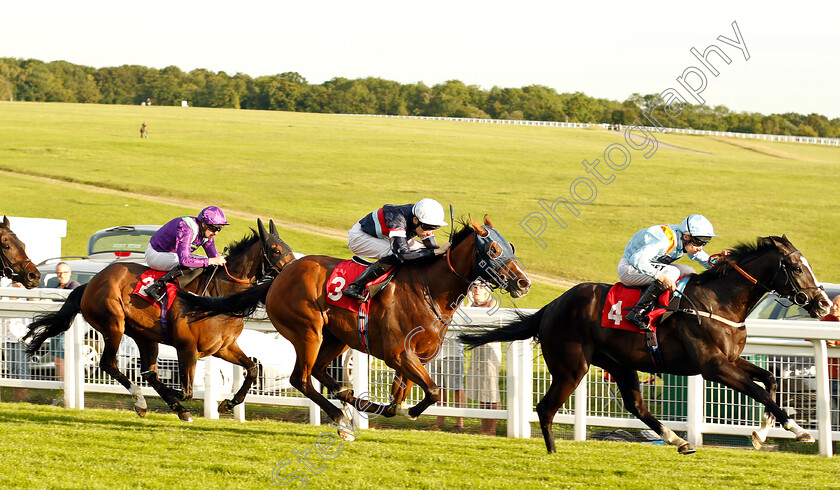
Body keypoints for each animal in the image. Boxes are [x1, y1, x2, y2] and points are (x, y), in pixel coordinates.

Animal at [182, 216, 532, 438]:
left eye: (512, 247)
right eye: (494, 250)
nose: (523, 283)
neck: (429, 288)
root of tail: (278, 277)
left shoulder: (415, 357)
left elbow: (401, 396)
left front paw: (389, 407)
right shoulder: (398, 354)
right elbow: (432, 390)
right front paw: (408, 412)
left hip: (336, 337)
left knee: (321, 373)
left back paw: (349, 400)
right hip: (308, 331)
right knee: (302, 379)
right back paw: (341, 419)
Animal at [460, 235, 832, 454]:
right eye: (796, 267)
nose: (824, 304)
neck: (717, 302)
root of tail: (550, 308)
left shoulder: (730, 359)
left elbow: (769, 382)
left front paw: (764, 433)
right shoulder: (713, 367)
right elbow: (758, 391)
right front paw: (798, 430)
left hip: (618, 364)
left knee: (636, 406)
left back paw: (678, 440)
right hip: (572, 367)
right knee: (545, 407)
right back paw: (553, 453)